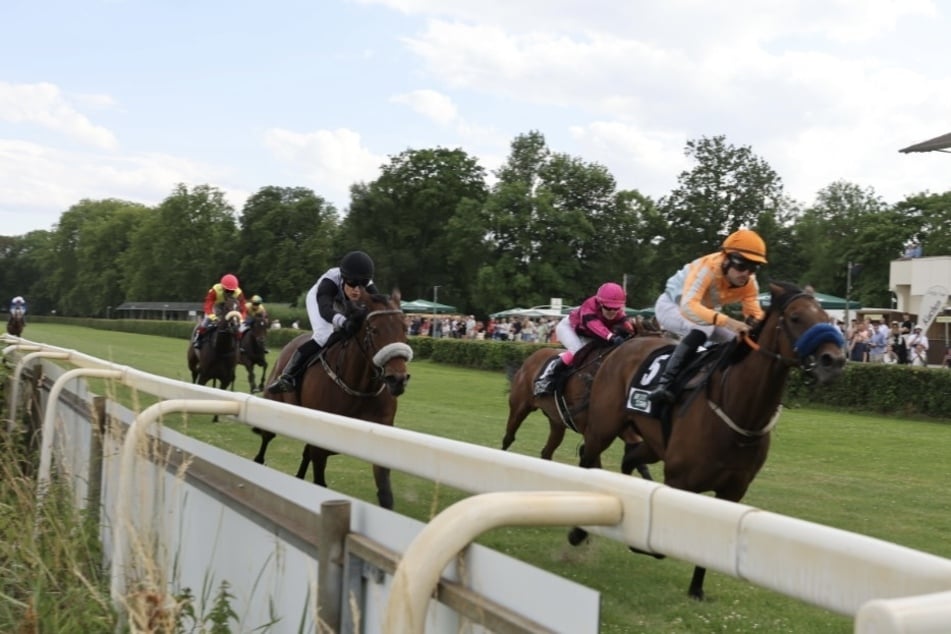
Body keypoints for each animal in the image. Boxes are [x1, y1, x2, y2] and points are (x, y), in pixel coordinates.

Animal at [253, 288, 412, 506]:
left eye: (405, 328)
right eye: (374, 330)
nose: (397, 379)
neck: (359, 387)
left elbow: (385, 492)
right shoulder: (322, 443)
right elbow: (320, 480)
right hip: (274, 404)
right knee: (266, 439)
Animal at [568, 282, 844, 596]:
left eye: (826, 316)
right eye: (796, 317)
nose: (834, 360)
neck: (738, 409)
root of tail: (621, 347)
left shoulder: (733, 490)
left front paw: (696, 588)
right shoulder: (679, 481)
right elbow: (660, 544)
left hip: (652, 443)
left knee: (629, 458)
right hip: (604, 427)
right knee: (588, 459)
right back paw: (577, 531)